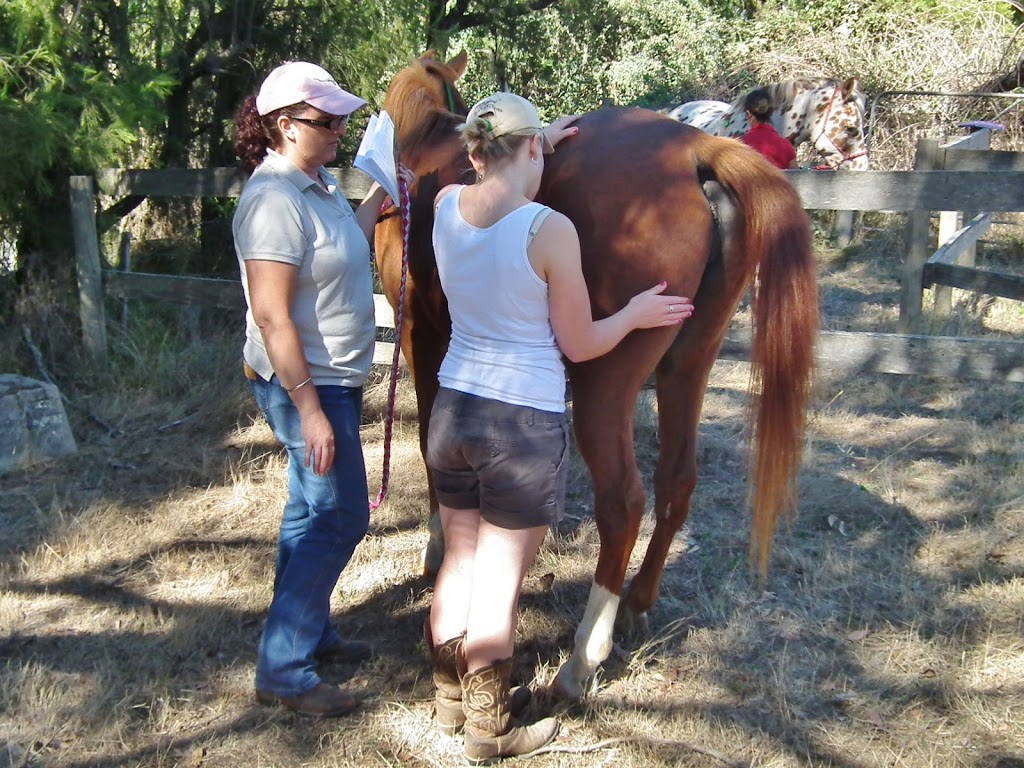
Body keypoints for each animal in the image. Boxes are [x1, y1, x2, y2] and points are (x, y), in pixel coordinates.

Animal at [372, 51, 819, 704]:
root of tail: (696, 148)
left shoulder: (420, 335)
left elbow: (434, 441)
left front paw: (437, 546)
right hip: (688, 367)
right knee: (676, 481)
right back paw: (636, 604)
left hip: (602, 386)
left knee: (624, 503)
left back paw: (582, 659)